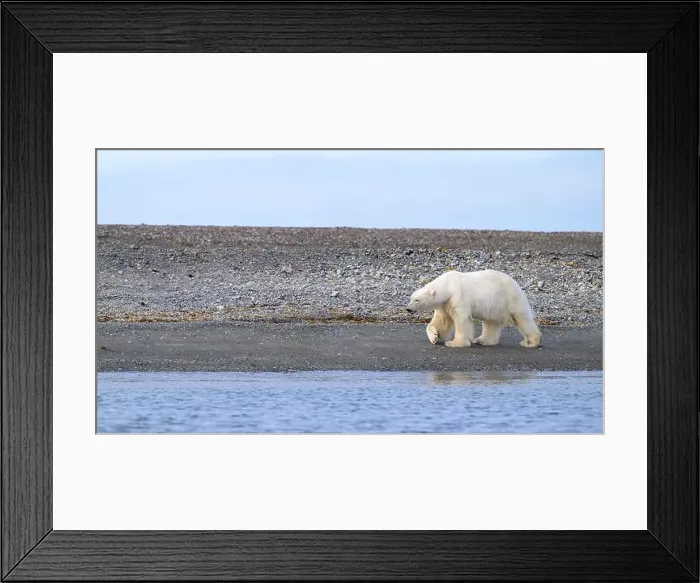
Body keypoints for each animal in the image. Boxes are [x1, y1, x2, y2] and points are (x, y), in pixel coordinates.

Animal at [406, 269, 542, 349]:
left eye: (417, 300)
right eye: (410, 298)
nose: (408, 309)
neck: (448, 286)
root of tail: (516, 283)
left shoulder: (458, 296)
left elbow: (461, 319)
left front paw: (454, 343)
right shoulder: (445, 303)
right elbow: (442, 320)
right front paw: (434, 337)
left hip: (510, 298)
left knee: (522, 317)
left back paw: (530, 342)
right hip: (494, 305)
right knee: (491, 322)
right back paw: (483, 340)